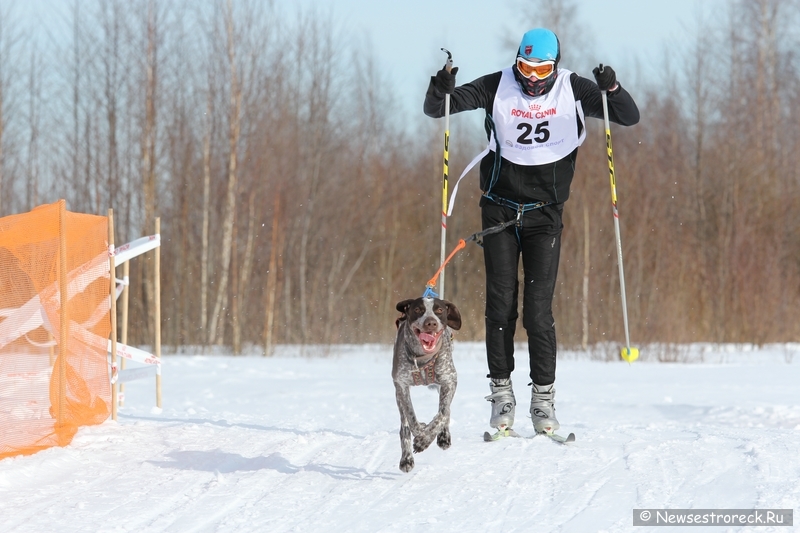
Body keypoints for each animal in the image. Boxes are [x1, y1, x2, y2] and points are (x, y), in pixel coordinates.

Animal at [394, 298, 462, 472]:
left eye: (439, 310)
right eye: (418, 309)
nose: (430, 323)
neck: (423, 358)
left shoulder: (449, 380)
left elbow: (443, 413)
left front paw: (425, 439)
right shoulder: (401, 385)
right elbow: (411, 420)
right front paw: (421, 435)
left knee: (445, 410)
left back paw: (443, 436)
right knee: (404, 425)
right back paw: (406, 458)